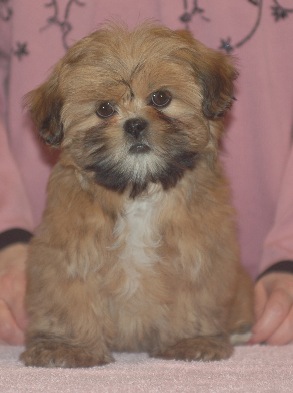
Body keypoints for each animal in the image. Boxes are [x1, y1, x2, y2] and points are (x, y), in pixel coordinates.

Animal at [20, 23, 253, 366]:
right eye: (104, 109)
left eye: (161, 97)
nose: (134, 125)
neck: (139, 189)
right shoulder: (70, 251)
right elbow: (70, 295)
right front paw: (67, 347)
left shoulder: (197, 250)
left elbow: (194, 295)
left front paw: (191, 341)